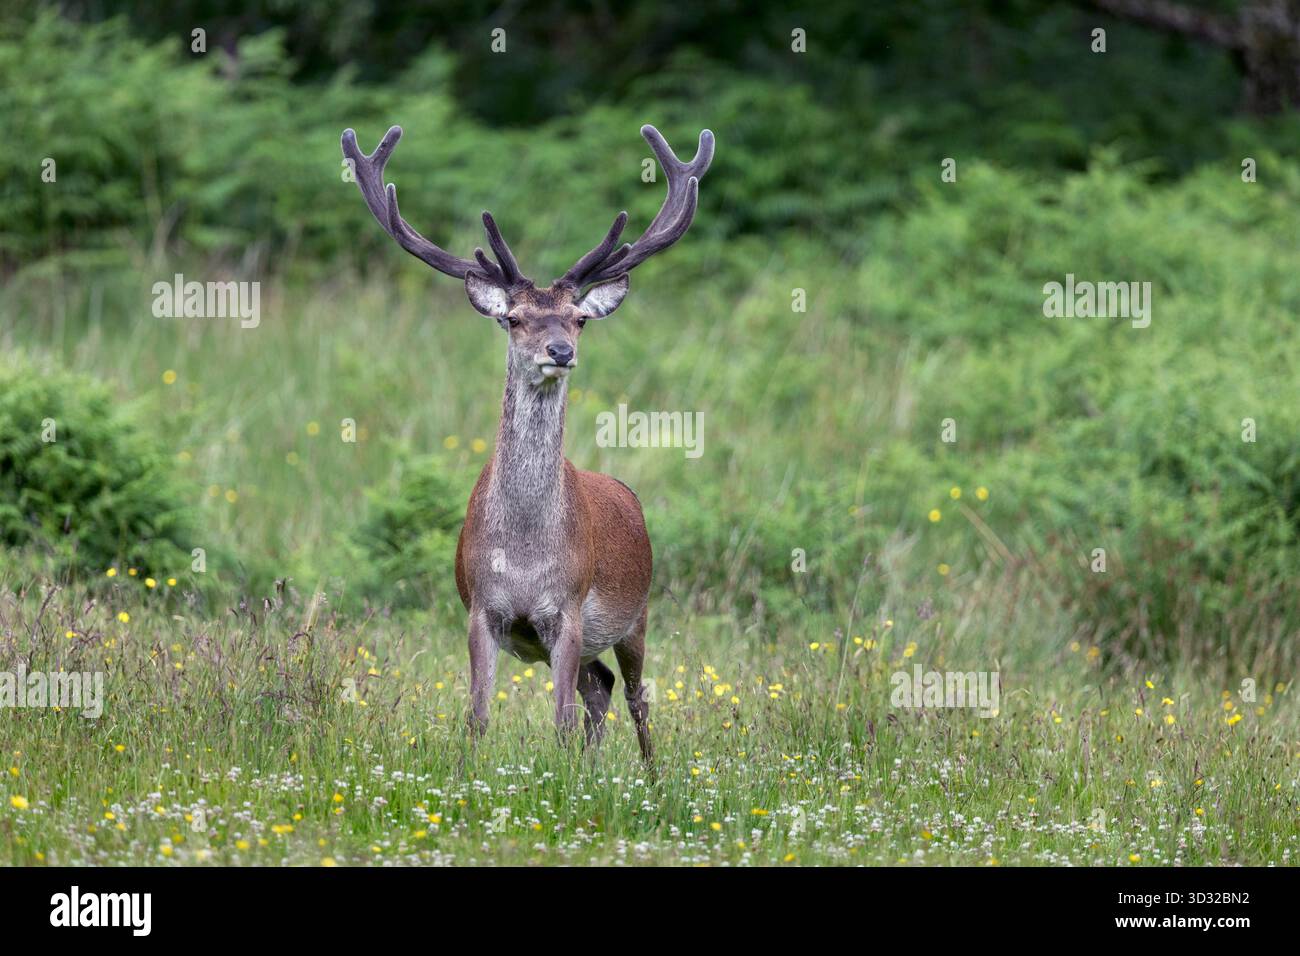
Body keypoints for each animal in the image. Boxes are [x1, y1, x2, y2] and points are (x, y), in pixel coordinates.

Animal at [341, 122, 714, 762]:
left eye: (579, 319)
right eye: (514, 318)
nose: (559, 351)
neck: (522, 553)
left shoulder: (567, 610)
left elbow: (559, 720)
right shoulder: (481, 609)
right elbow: (477, 716)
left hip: (637, 612)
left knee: (636, 698)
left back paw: (651, 774)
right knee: (600, 688)